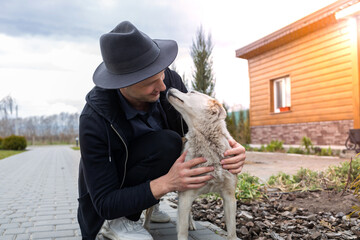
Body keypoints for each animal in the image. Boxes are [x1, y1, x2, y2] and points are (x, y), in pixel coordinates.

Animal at [166, 88, 239, 240]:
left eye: (192, 92)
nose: (169, 88)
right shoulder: (186, 195)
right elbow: (182, 233)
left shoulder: (229, 197)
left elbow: (232, 232)